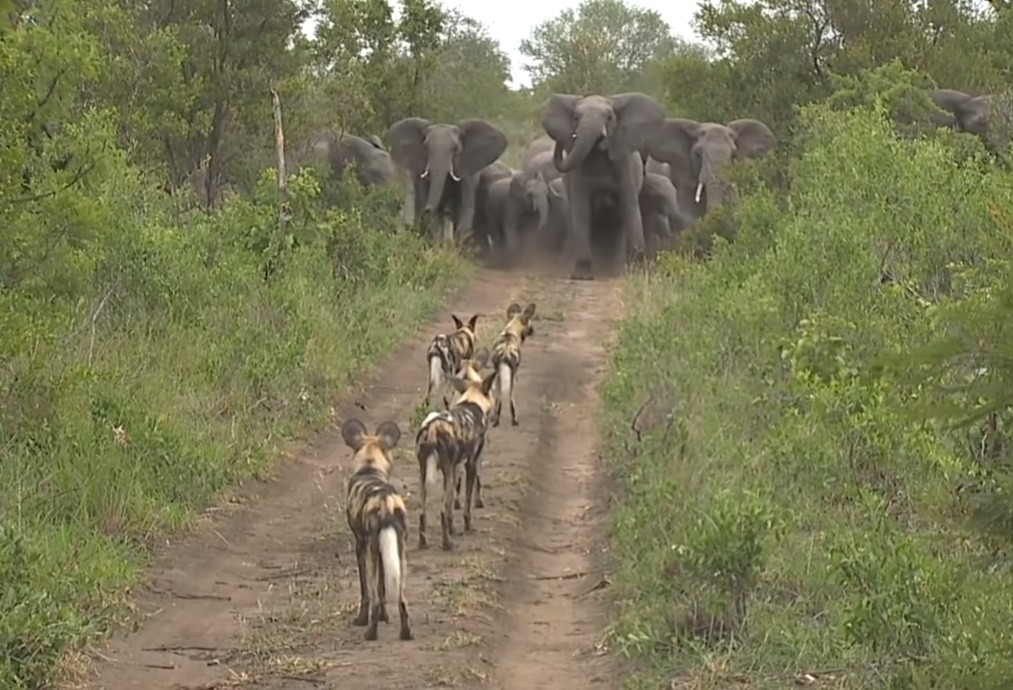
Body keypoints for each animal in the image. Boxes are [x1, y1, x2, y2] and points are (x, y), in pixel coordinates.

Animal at [542, 92, 667, 280]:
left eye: (609, 118)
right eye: (576, 118)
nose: (562, 141)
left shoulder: (625, 164)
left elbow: (630, 206)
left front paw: (635, 270)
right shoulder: (578, 171)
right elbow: (581, 210)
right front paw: (582, 276)